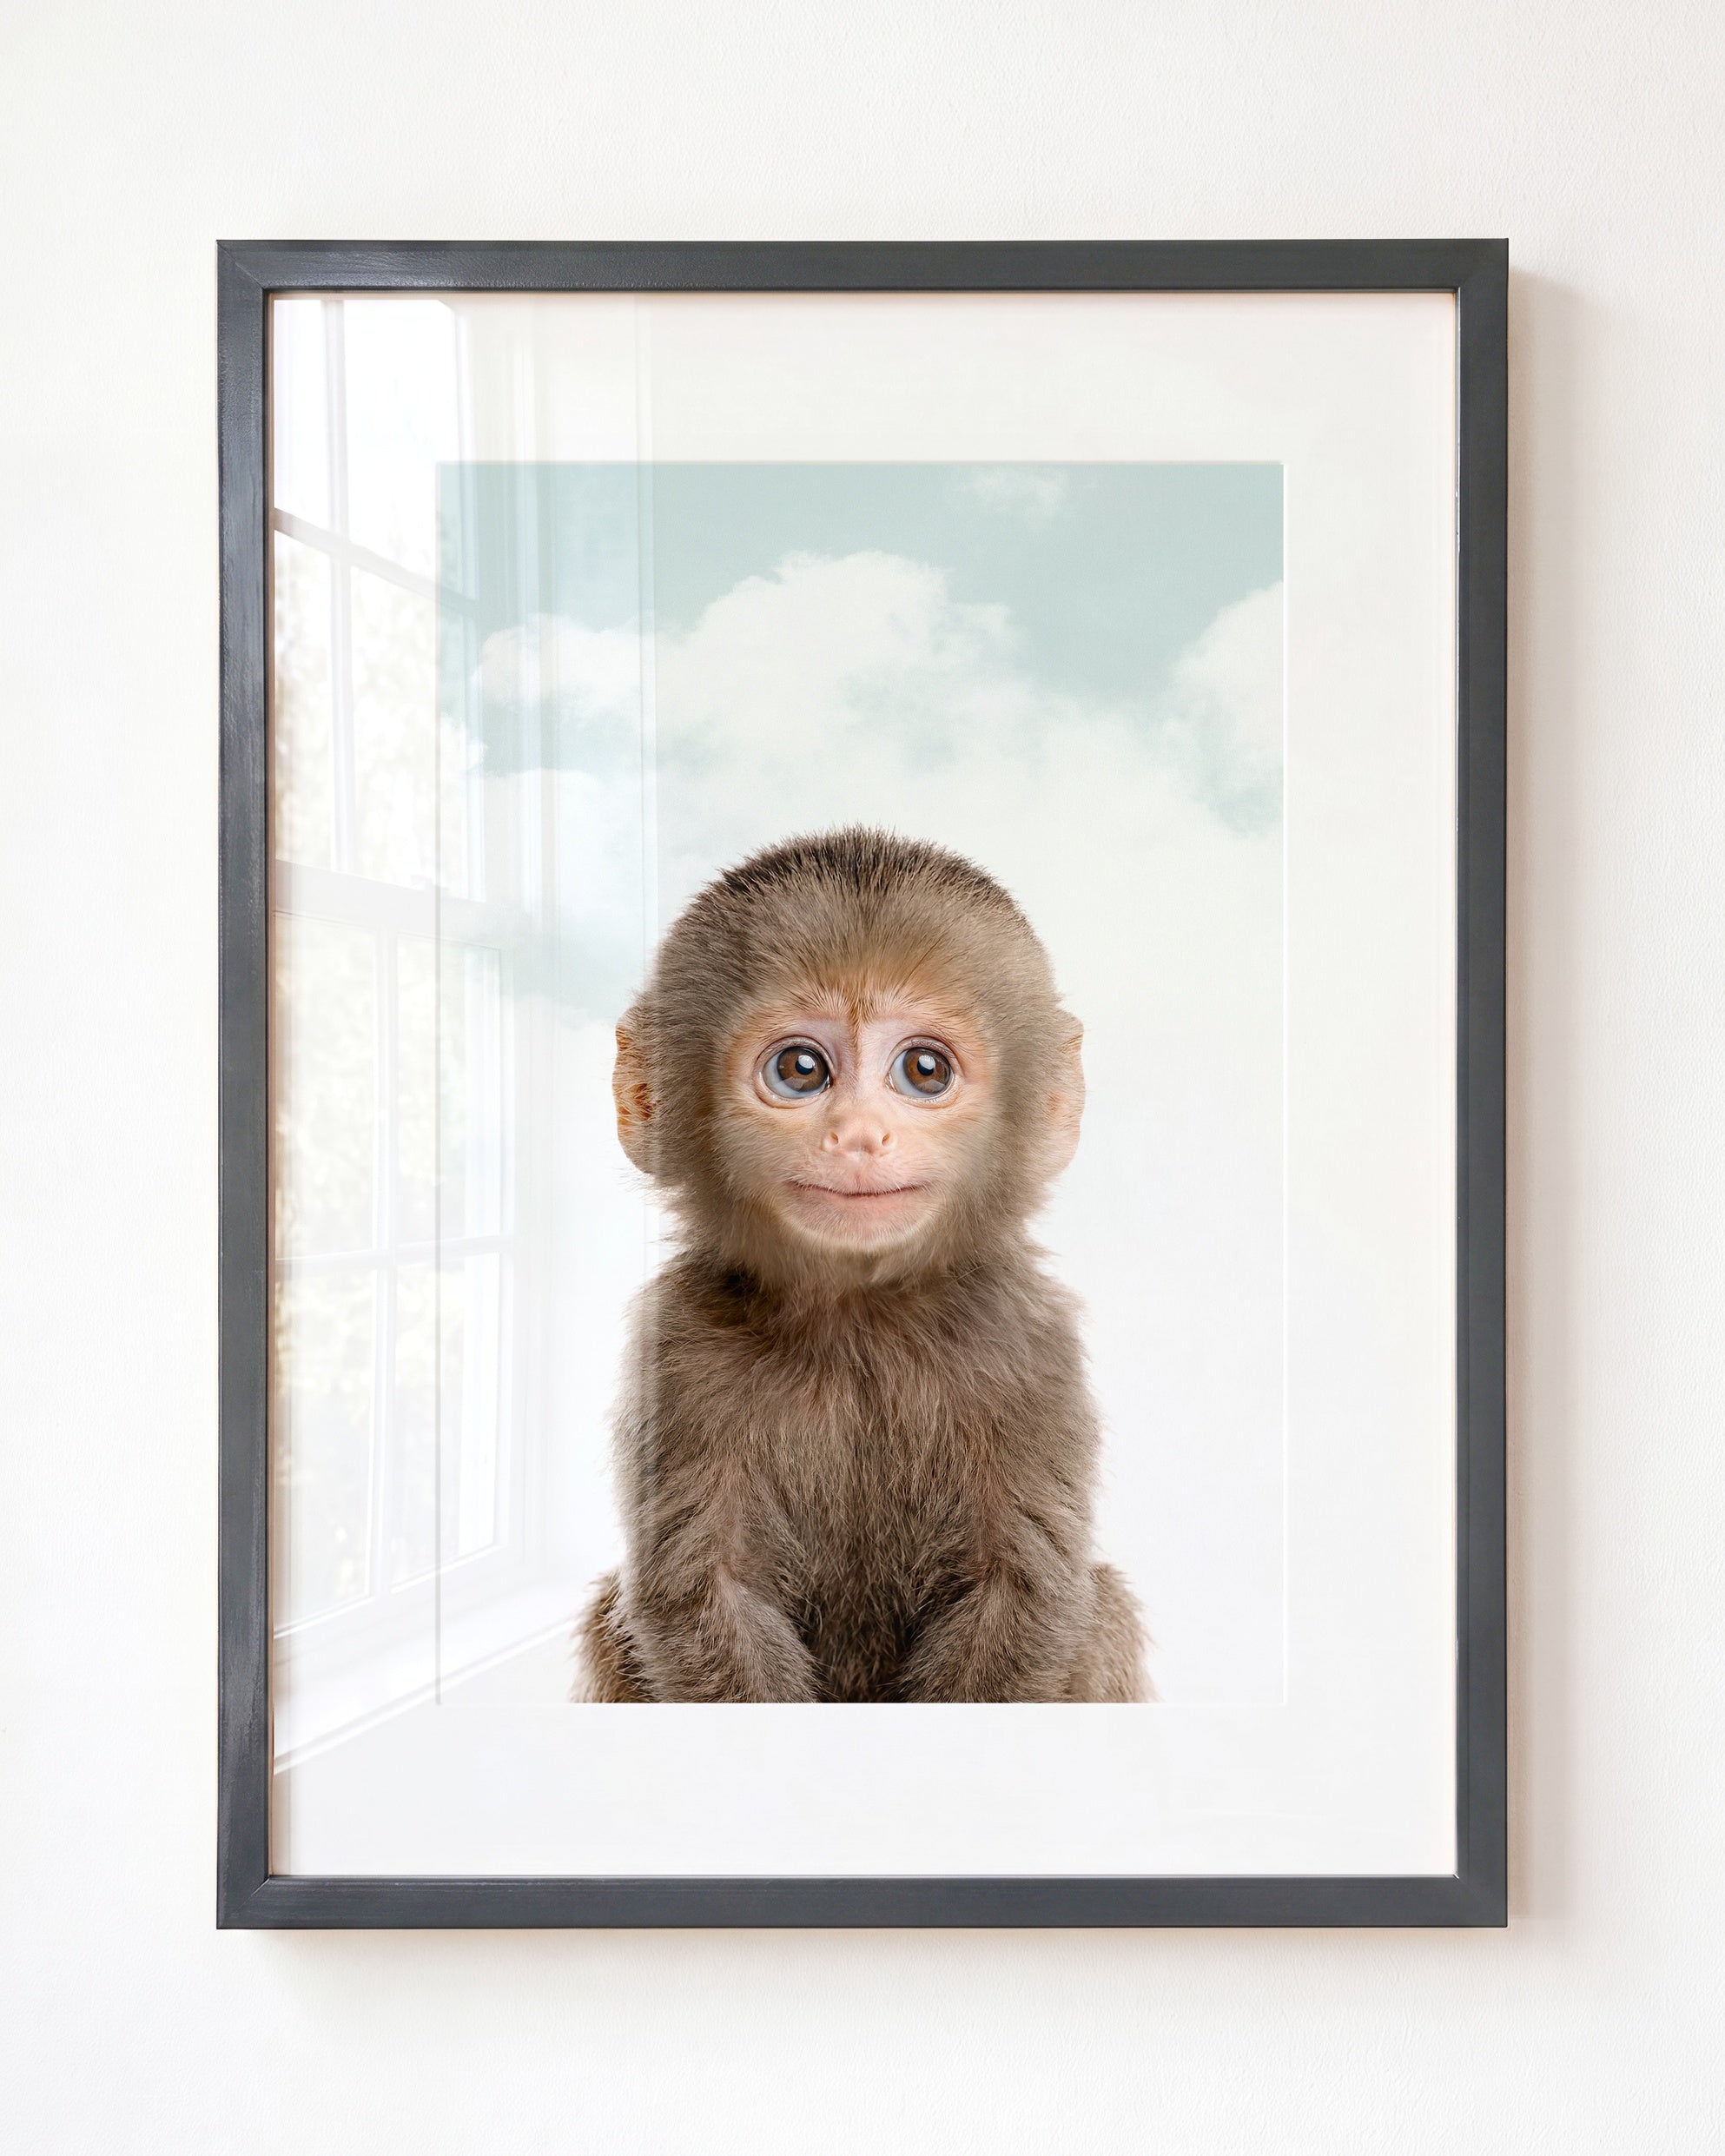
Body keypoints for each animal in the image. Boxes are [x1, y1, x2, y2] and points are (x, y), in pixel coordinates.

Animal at [573, 826, 1147, 1703]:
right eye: (801, 1069)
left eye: (924, 1070)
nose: (859, 1136)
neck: (860, 1320)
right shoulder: (676, 1351)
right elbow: (704, 1594)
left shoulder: (1030, 1345)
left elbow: (1020, 1591)